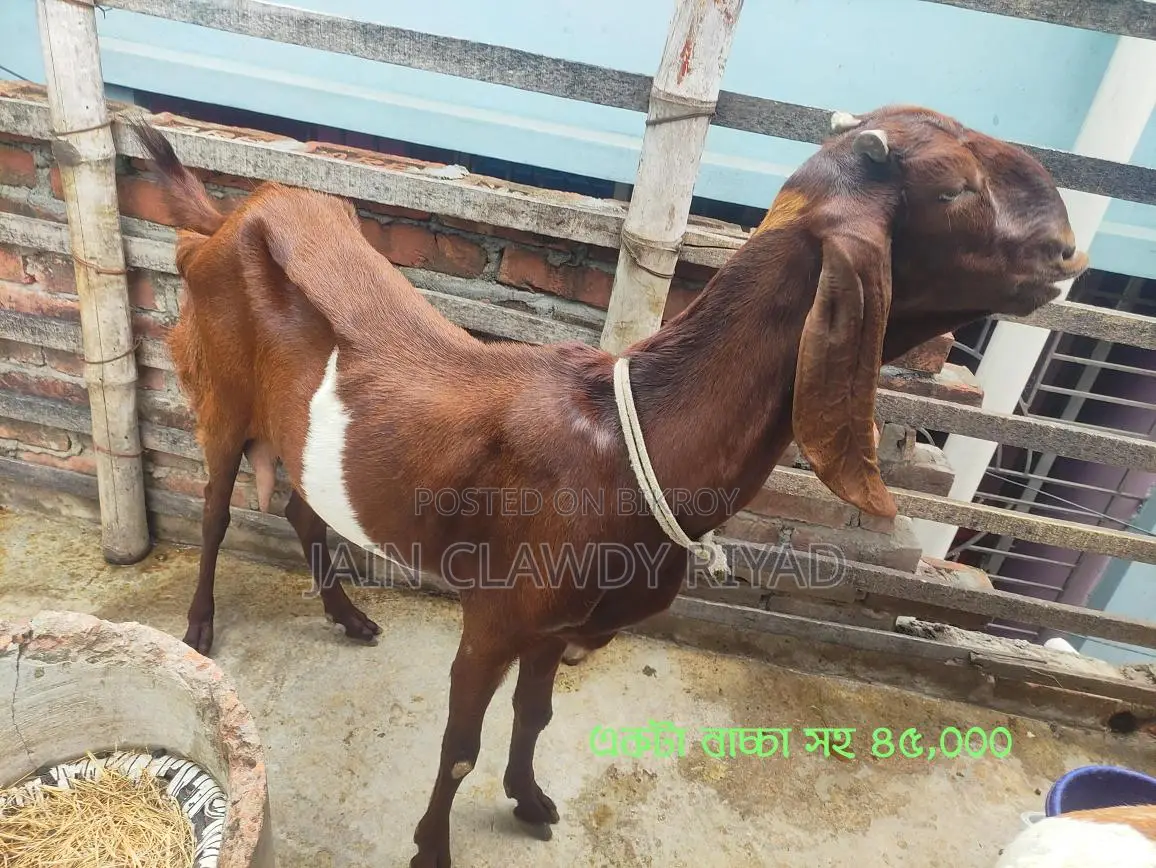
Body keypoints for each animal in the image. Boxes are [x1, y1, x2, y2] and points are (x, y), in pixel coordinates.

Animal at [129, 104, 1087, 868]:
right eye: (956, 189)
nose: (1067, 249)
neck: (631, 443)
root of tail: (227, 217)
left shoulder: (554, 626)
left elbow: (535, 718)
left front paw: (531, 801)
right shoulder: (496, 618)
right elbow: (459, 747)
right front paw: (433, 849)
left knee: (303, 505)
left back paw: (350, 616)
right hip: (220, 398)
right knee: (214, 511)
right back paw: (201, 627)